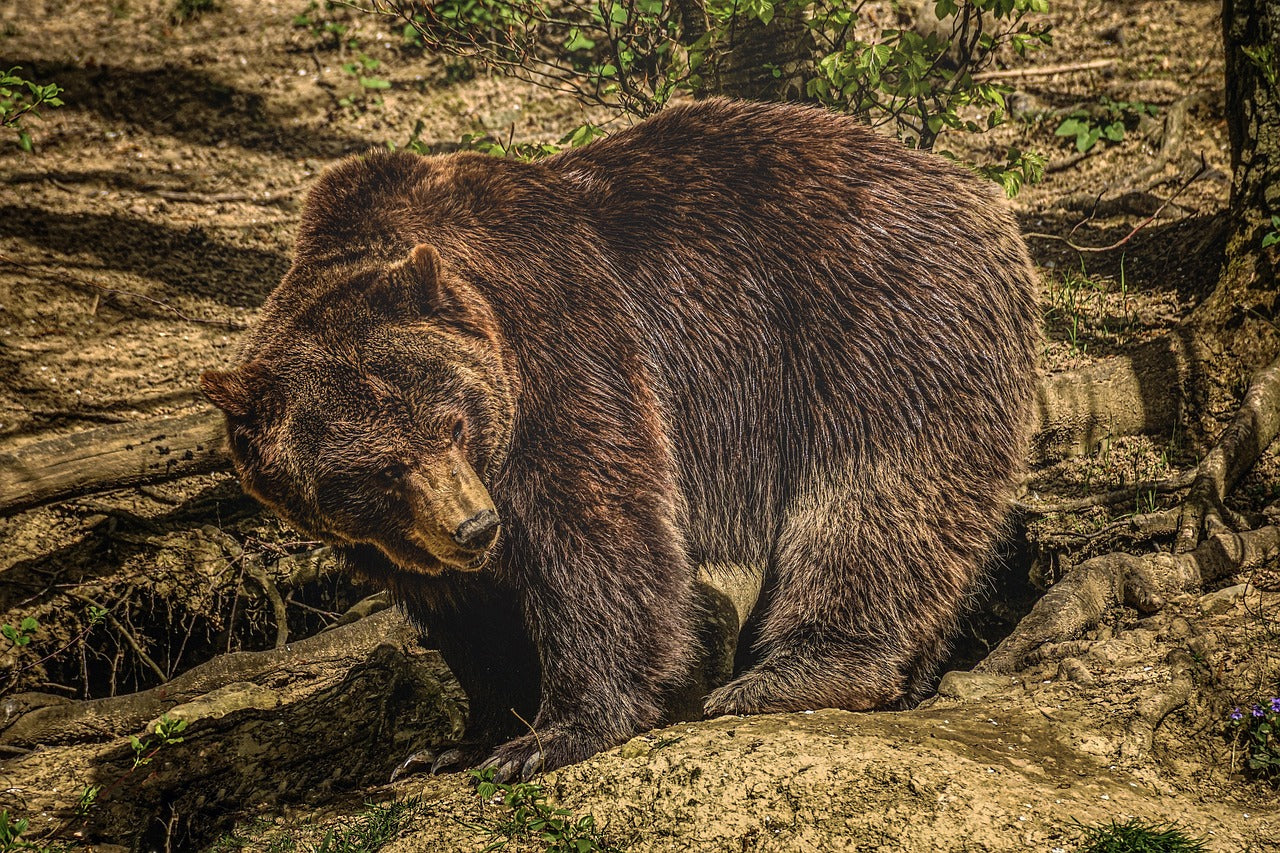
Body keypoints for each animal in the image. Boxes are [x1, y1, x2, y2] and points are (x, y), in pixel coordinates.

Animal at [199, 96, 1039, 778]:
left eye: (453, 422)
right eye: (376, 469)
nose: (476, 525)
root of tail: (980, 191)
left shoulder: (562, 346)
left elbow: (597, 535)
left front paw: (553, 733)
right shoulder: (399, 537)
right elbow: (470, 614)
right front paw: (454, 741)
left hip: (879, 324)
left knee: (872, 500)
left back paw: (789, 674)